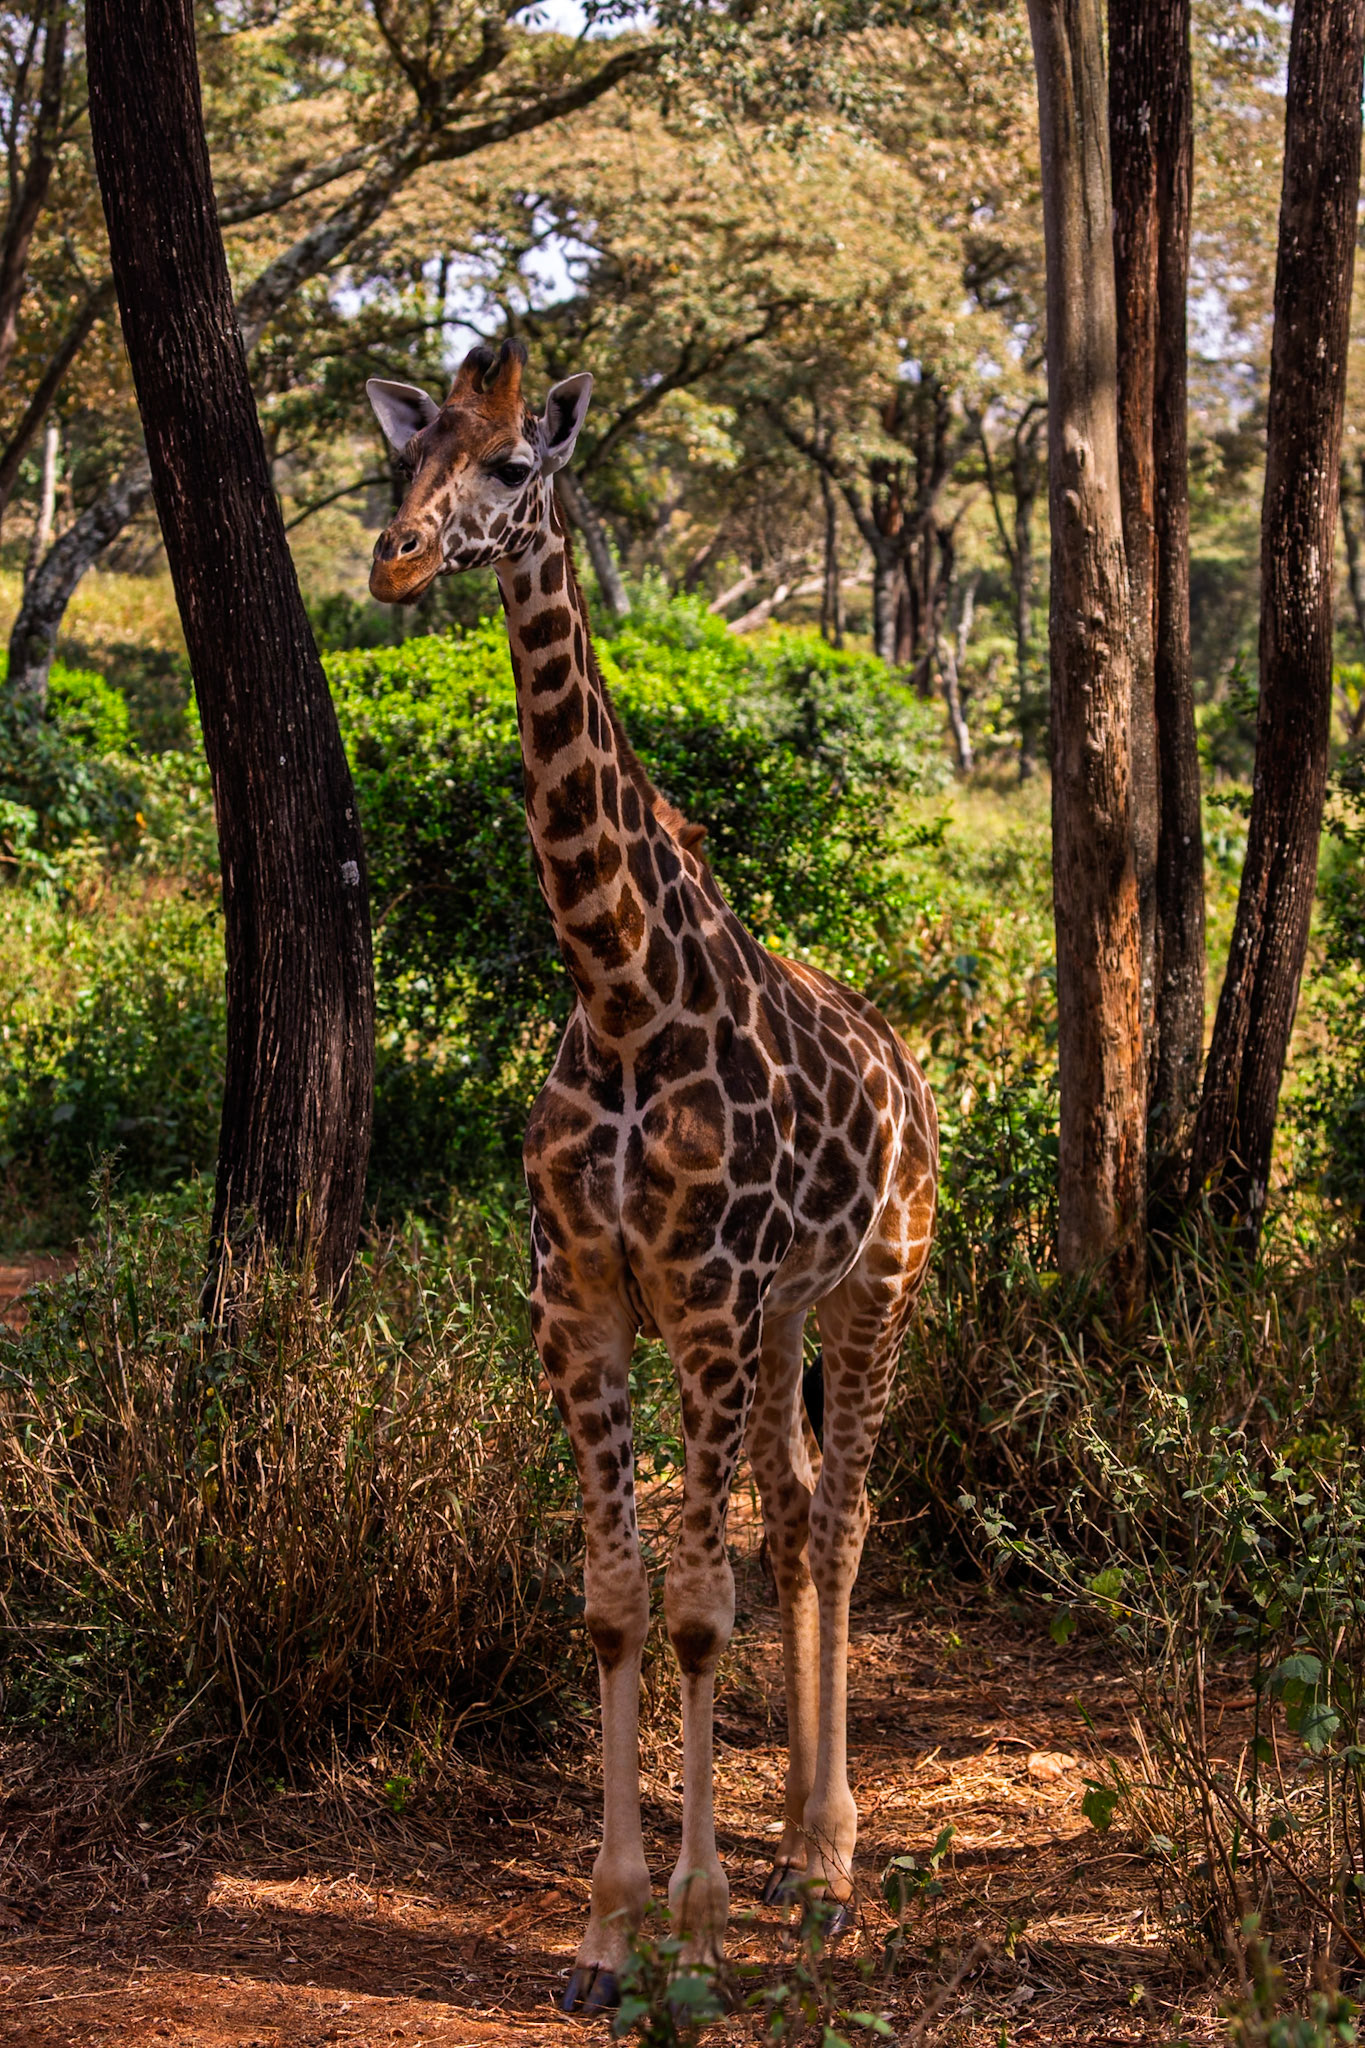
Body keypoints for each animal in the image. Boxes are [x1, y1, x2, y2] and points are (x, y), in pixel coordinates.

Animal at [367, 338, 939, 2013]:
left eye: (513, 468)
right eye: (404, 458)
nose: (395, 559)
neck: (623, 995)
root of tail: (911, 1064)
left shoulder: (704, 1303)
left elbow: (696, 1607)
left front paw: (692, 1931)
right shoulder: (586, 1300)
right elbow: (618, 1602)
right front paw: (605, 1933)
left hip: (878, 1283)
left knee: (846, 1517)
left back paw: (830, 1864)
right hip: (789, 1313)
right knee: (801, 1513)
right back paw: (798, 1853)